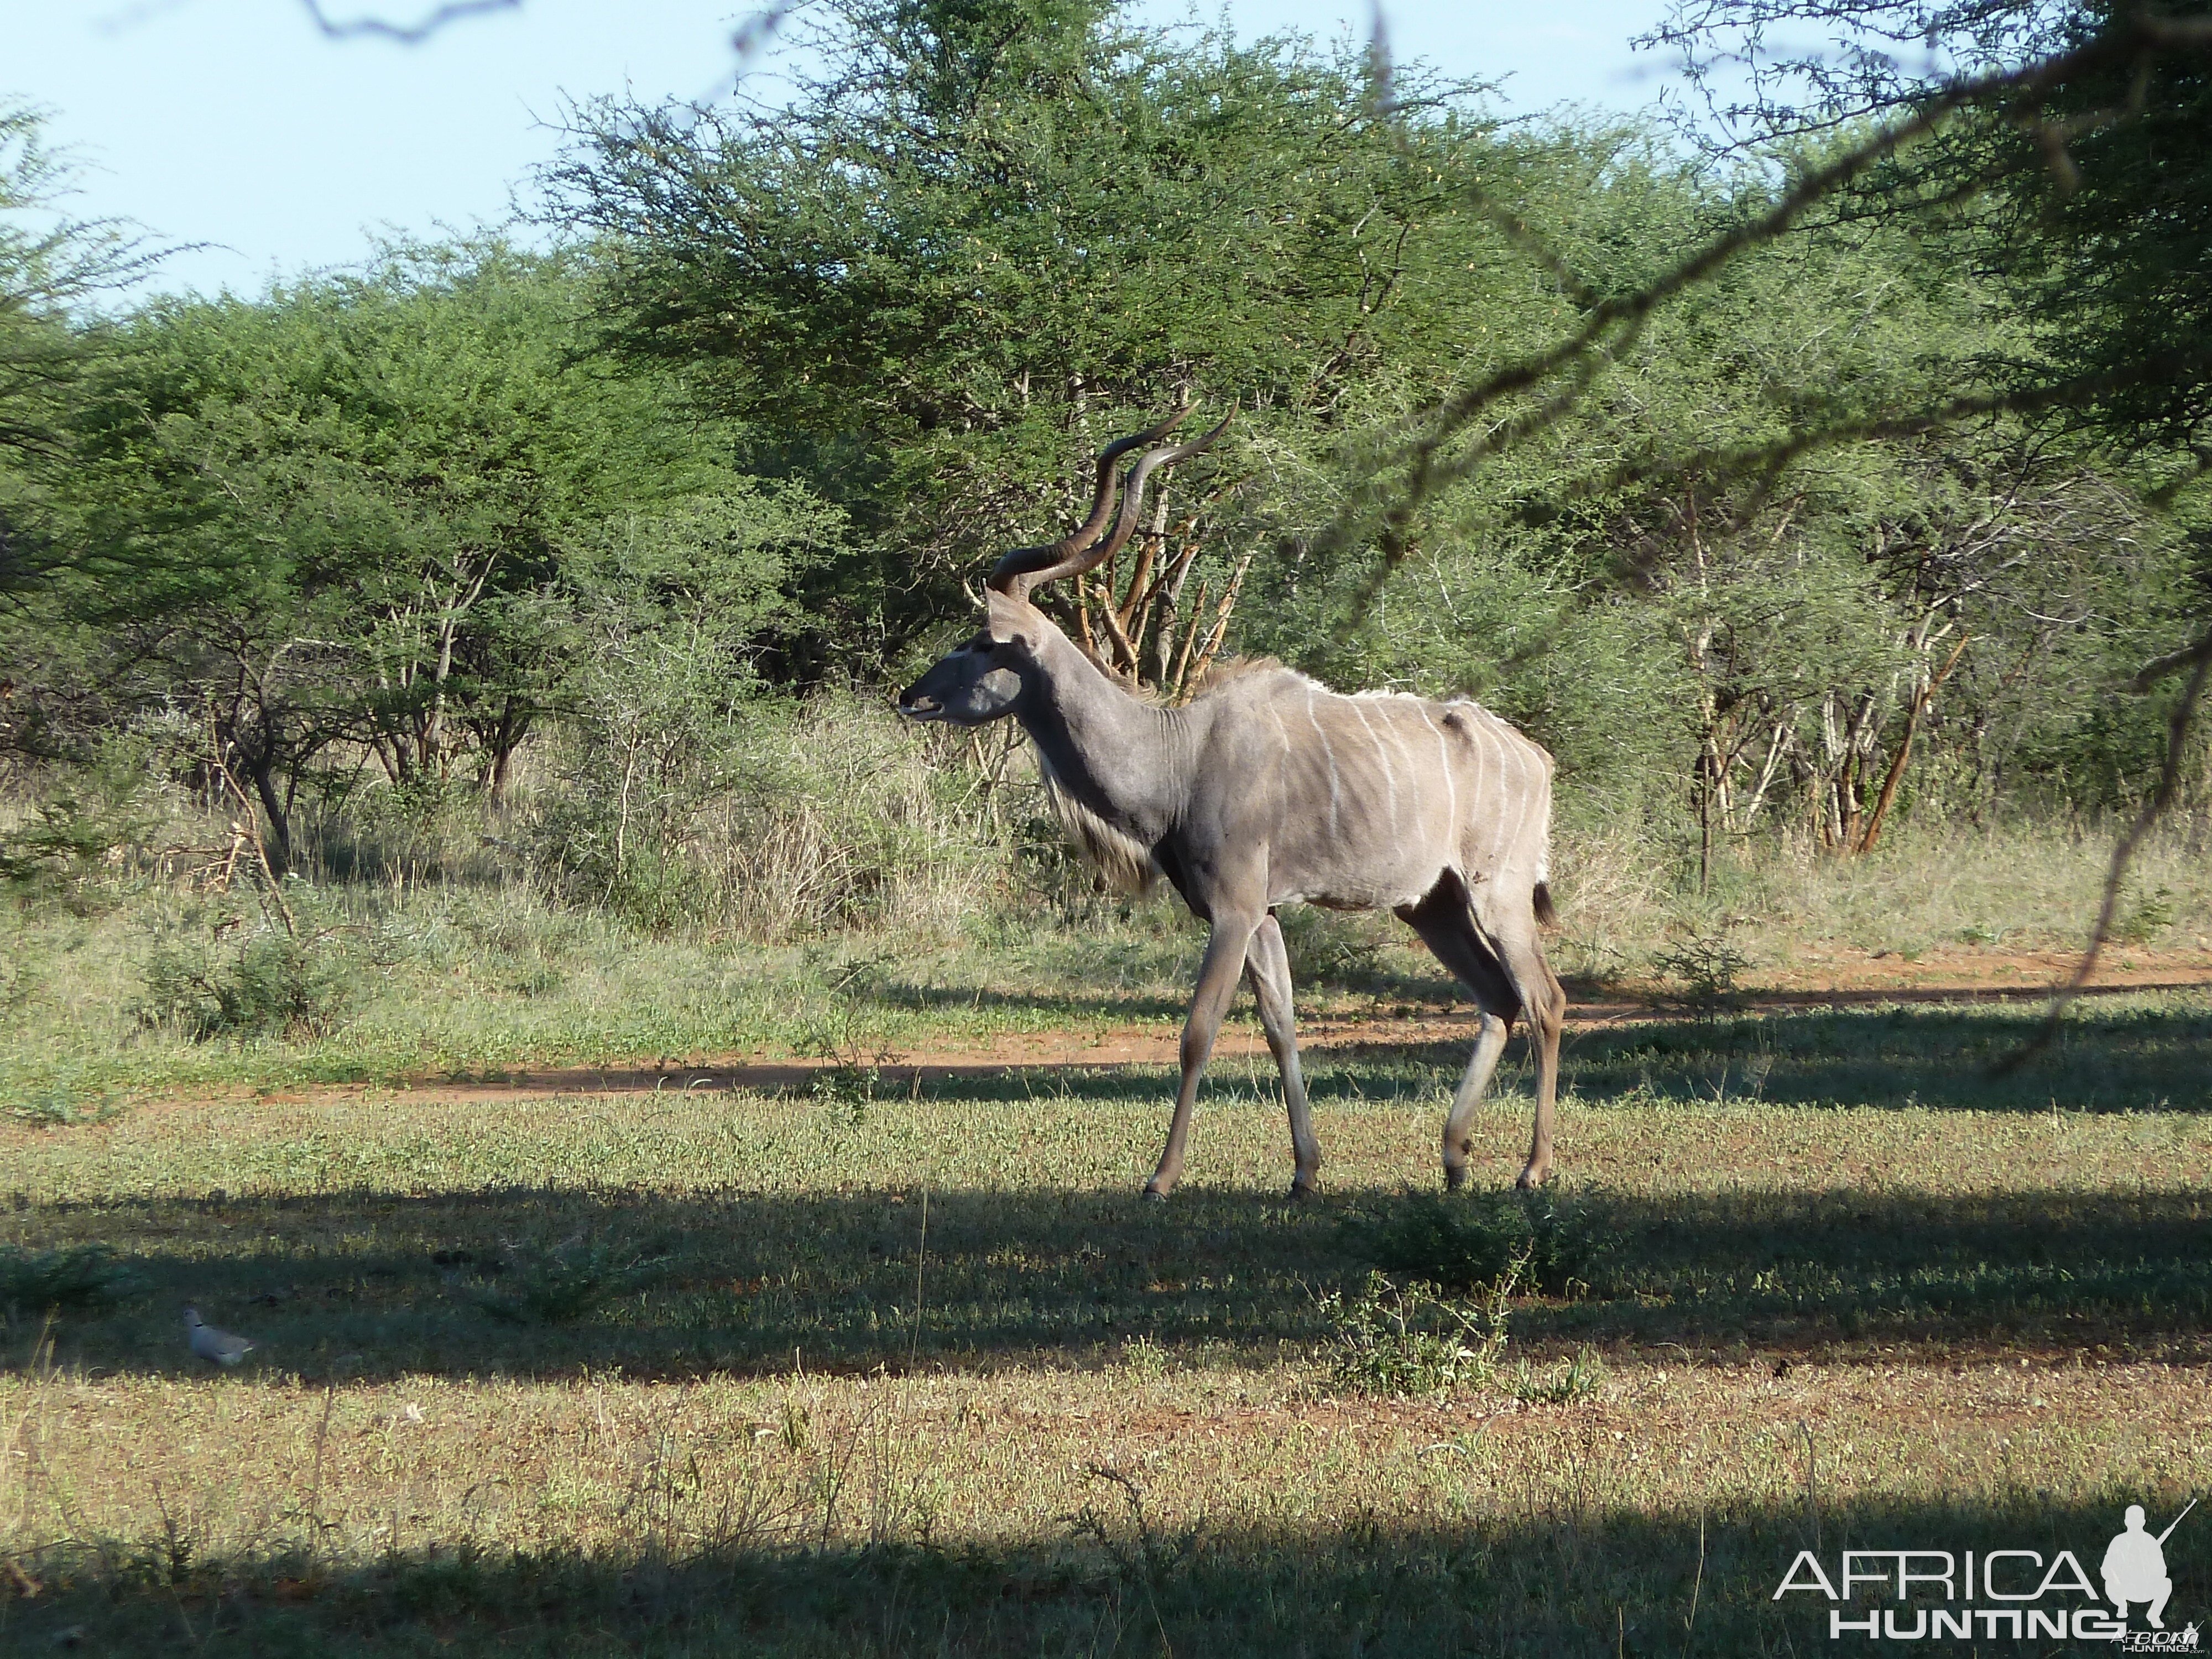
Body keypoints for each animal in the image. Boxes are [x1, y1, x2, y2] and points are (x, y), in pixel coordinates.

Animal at [889, 414, 1566, 1194]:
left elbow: (1198, 1032)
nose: (910, 696)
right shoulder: (1263, 915)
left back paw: (1533, 1168)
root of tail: (1534, 755)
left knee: (1544, 1001)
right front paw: (1304, 1173)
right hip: (1431, 904)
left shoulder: (1235, 911)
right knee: (1498, 999)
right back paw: (1454, 1157)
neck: (1175, 756)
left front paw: (1161, 1177)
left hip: (1497, 892)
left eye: (980, 642)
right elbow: (1279, 1026)